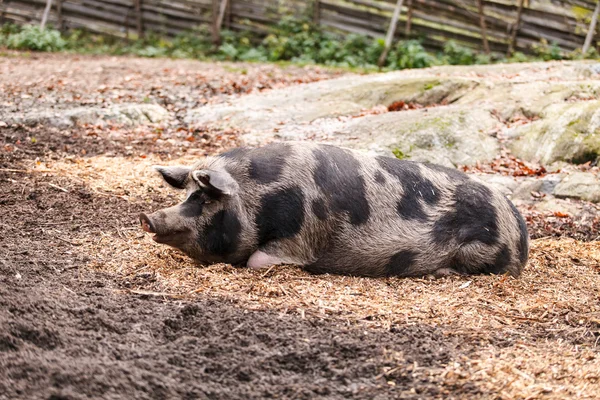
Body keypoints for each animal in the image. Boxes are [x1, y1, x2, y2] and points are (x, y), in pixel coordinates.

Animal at [141, 142, 528, 276]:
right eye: (187, 194)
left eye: (205, 198)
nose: (148, 218)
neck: (261, 197)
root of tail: (519, 226)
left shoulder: (300, 238)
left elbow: (258, 260)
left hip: (480, 251)